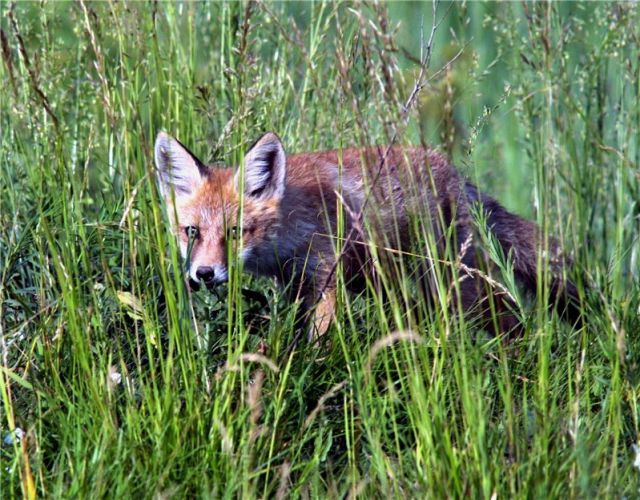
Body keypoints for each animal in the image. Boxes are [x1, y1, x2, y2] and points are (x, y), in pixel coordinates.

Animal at [154, 131, 580, 338]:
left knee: (510, 315)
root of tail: (454, 174)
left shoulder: (327, 277)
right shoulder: (297, 285)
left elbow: (318, 338)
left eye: (236, 232)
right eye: (191, 232)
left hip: (453, 281)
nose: (204, 274)